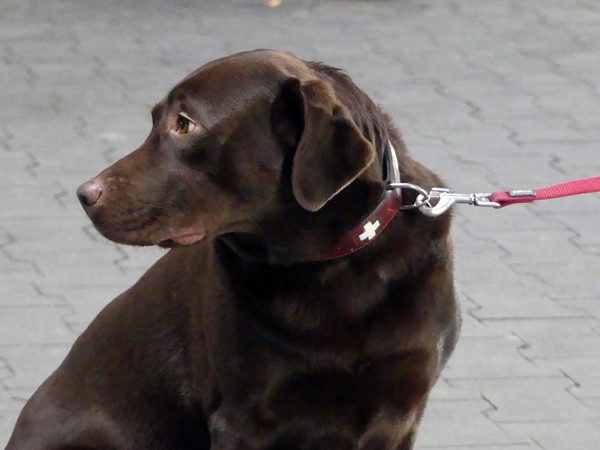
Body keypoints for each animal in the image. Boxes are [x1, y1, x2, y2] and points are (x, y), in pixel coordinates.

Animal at [5, 49, 460, 450]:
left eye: (184, 124)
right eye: (155, 120)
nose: (85, 195)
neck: (327, 267)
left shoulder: (401, 413)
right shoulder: (244, 421)